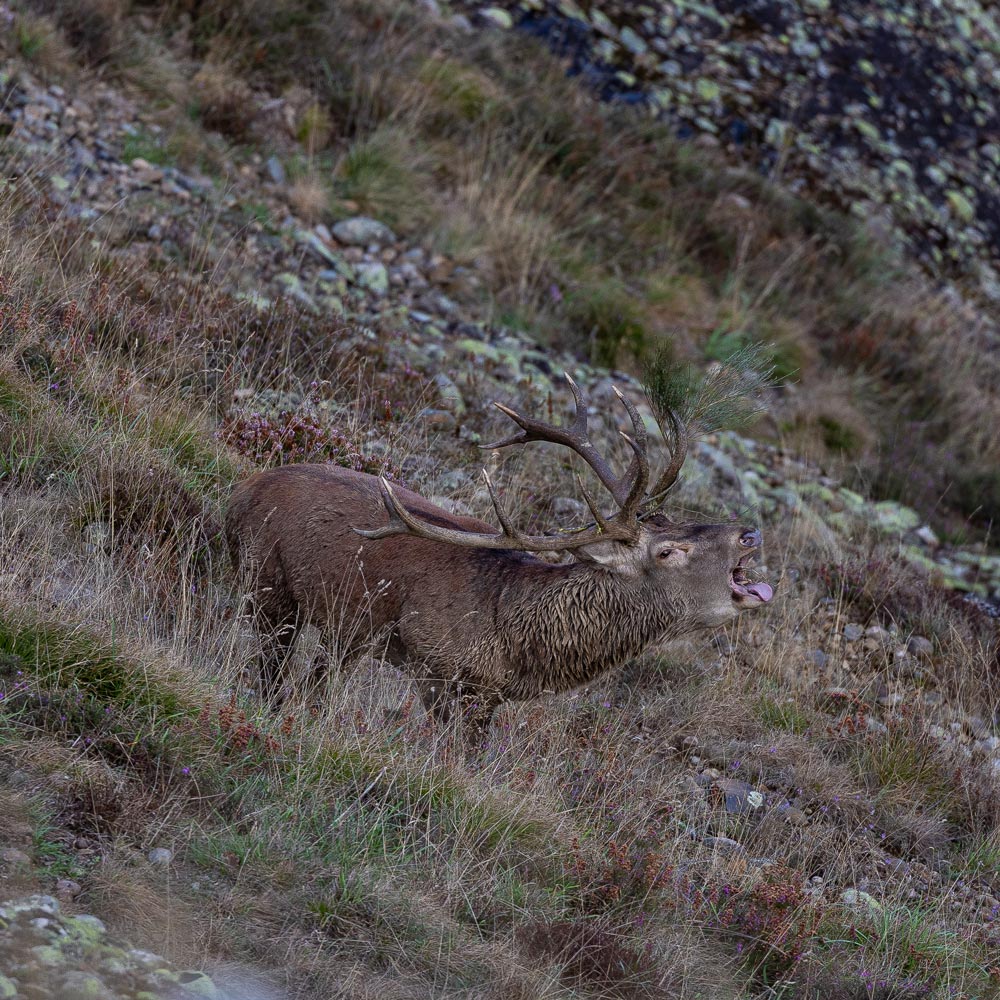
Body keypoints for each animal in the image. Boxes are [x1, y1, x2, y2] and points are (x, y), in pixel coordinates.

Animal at [225, 374, 773, 734]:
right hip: (269, 586)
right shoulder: (437, 671)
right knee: (273, 670)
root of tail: (238, 493)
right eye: (668, 550)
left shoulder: (488, 699)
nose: (749, 534)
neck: (513, 644)